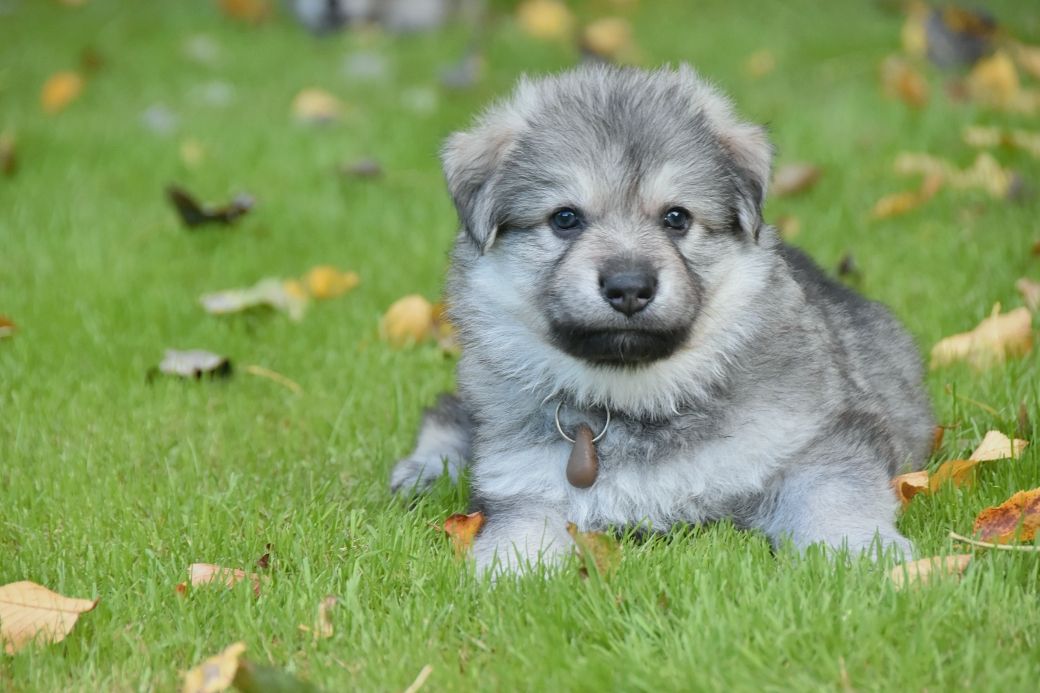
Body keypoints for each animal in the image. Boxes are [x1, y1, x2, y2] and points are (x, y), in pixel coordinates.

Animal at [390, 64, 935, 575]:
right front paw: (504, 575)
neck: (637, 398)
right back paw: (423, 470)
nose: (629, 286)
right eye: (565, 218)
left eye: (677, 218)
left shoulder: (817, 441)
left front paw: (869, 555)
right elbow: (520, 535)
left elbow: (834, 498)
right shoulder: (525, 485)